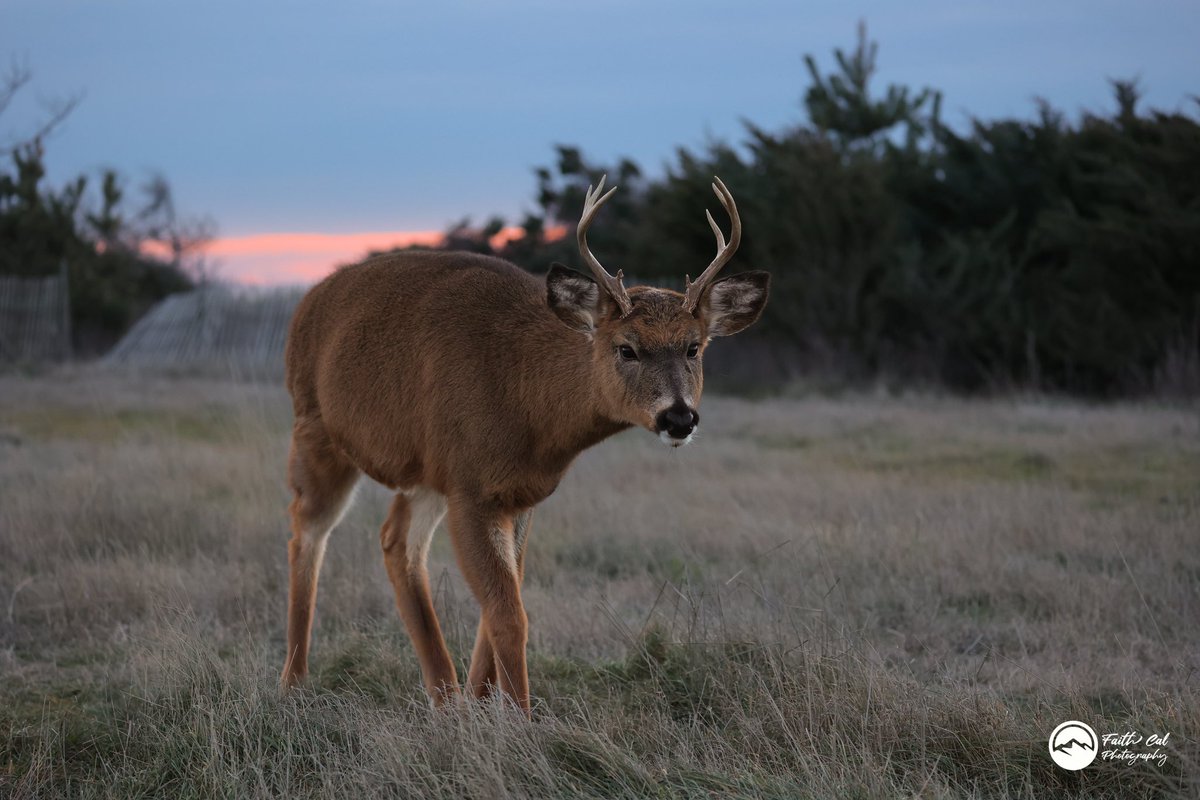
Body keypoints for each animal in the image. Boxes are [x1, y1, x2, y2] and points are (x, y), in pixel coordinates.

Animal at [281, 176, 769, 714]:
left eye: (694, 347)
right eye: (626, 348)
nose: (679, 417)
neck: (527, 407)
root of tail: (307, 302)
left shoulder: (518, 494)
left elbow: (498, 607)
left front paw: (479, 705)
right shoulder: (471, 487)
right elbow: (509, 615)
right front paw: (519, 717)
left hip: (424, 473)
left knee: (396, 541)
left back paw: (444, 696)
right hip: (315, 428)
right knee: (307, 532)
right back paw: (294, 682)